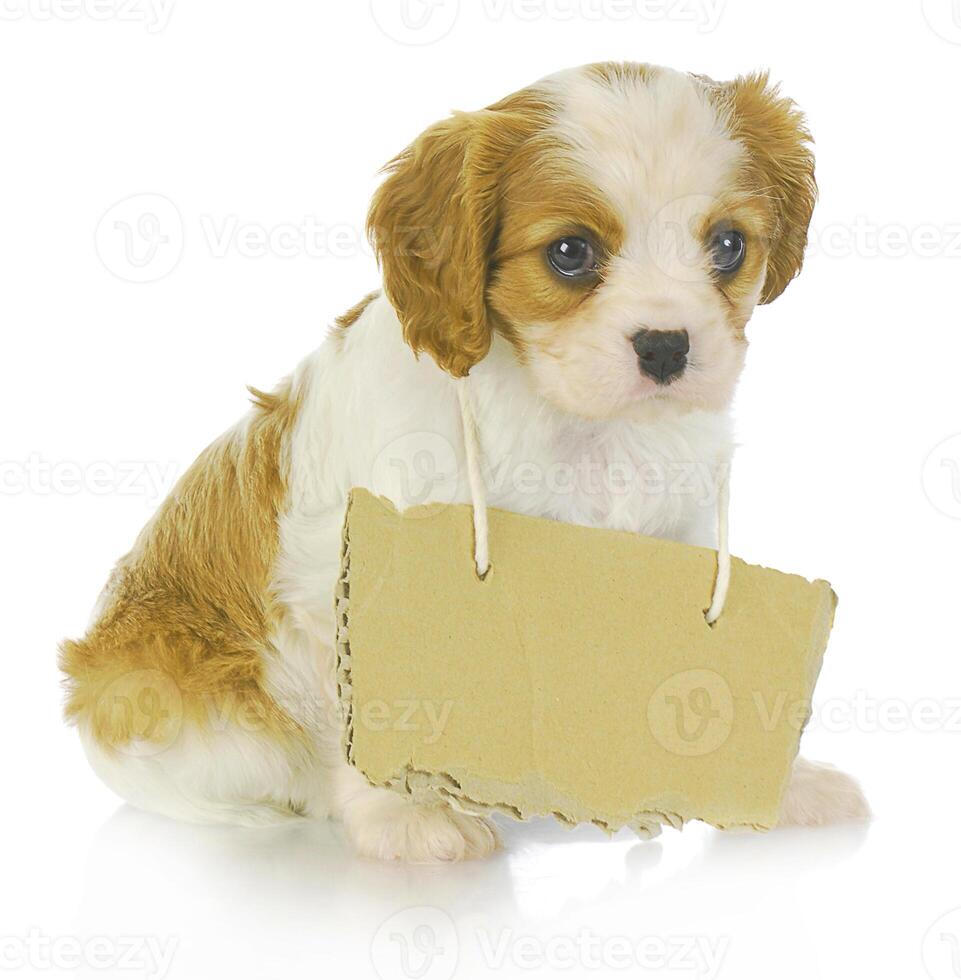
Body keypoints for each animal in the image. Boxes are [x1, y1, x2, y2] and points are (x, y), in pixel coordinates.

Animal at [60, 63, 872, 856]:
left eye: (728, 245)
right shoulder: (341, 573)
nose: (667, 346)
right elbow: (365, 700)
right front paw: (402, 816)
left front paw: (774, 785)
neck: (580, 426)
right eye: (570, 252)